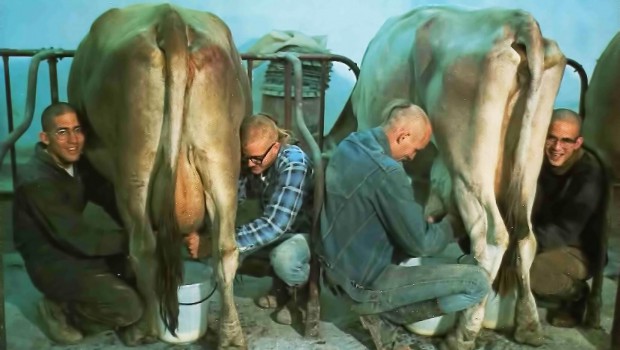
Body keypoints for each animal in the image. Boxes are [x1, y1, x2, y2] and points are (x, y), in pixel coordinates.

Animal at [67, 3, 252, 348]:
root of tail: (170, 17)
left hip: (136, 160)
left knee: (143, 248)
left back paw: (145, 329)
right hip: (220, 154)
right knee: (225, 250)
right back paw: (231, 336)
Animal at [324, 6, 568, 350]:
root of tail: (517, 19)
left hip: (467, 160)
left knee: (491, 236)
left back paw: (461, 334)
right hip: (530, 159)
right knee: (526, 237)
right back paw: (528, 325)